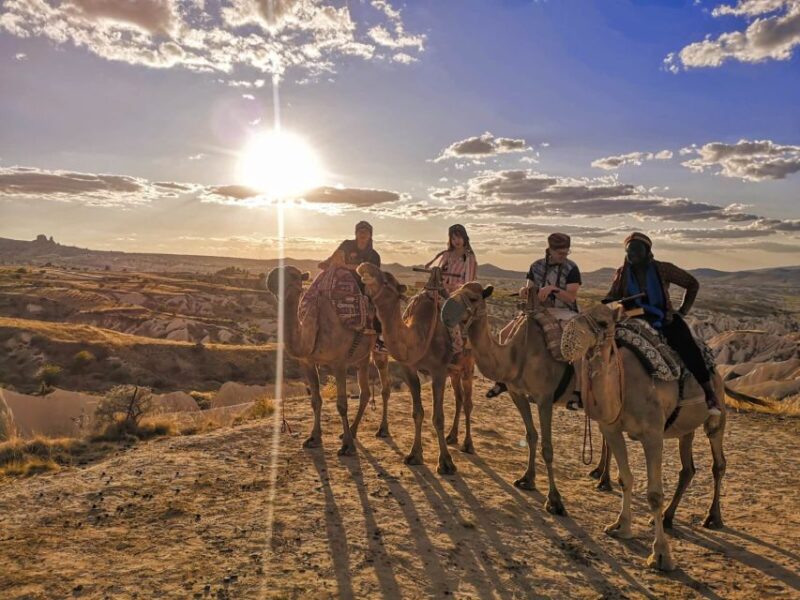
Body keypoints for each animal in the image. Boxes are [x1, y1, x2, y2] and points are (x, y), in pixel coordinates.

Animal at [266, 266, 391, 456]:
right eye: (273, 279)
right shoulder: (308, 362)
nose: (271, 278)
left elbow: (342, 404)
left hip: (379, 348)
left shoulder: (339, 363)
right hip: (362, 356)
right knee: (365, 391)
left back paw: (382, 430)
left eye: (294, 275)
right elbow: (315, 400)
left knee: (384, 386)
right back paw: (352, 430)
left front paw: (347, 446)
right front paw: (313, 438)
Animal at [356, 263, 476, 475]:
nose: (364, 266)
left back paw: (468, 444)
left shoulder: (438, 371)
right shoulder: (410, 370)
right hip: (454, 371)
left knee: (468, 402)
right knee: (459, 399)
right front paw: (414, 455)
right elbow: (417, 413)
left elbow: (438, 417)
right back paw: (452, 437)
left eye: (387, 279)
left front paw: (446, 463)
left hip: (467, 365)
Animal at [441, 283, 575, 515]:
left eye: (474, 298)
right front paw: (527, 479)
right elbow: (531, 435)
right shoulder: (517, 393)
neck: (516, 354)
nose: (446, 312)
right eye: (452, 292)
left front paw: (555, 501)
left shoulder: (544, 397)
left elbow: (547, 446)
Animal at [560, 302, 726, 571]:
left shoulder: (652, 435)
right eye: (578, 315)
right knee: (688, 469)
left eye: (604, 323)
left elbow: (654, 494)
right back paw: (668, 517)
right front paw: (620, 526)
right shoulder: (611, 430)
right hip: (685, 429)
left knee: (718, 463)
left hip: (717, 415)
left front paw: (661, 555)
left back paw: (713, 517)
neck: (623, 385)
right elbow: (624, 479)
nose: (568, 340)